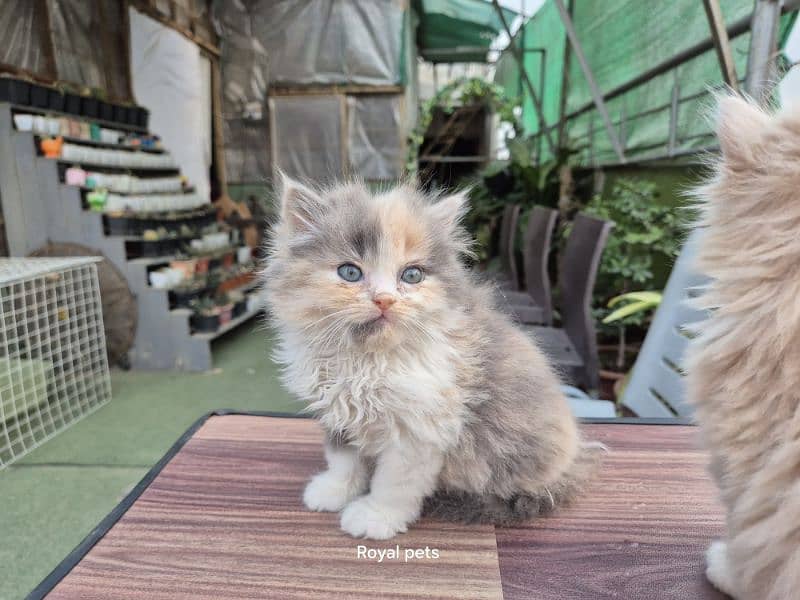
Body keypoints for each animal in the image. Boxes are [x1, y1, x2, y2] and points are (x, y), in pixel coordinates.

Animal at [260, 177, 592, 540]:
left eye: (412, 275)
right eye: (349, 272)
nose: (385, 300)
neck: (367, 361)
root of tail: (575, 460)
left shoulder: (418, 429)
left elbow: (393, 483)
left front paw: (375, 517)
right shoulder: (339, 413)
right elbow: (343, 460)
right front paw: (335, 490)